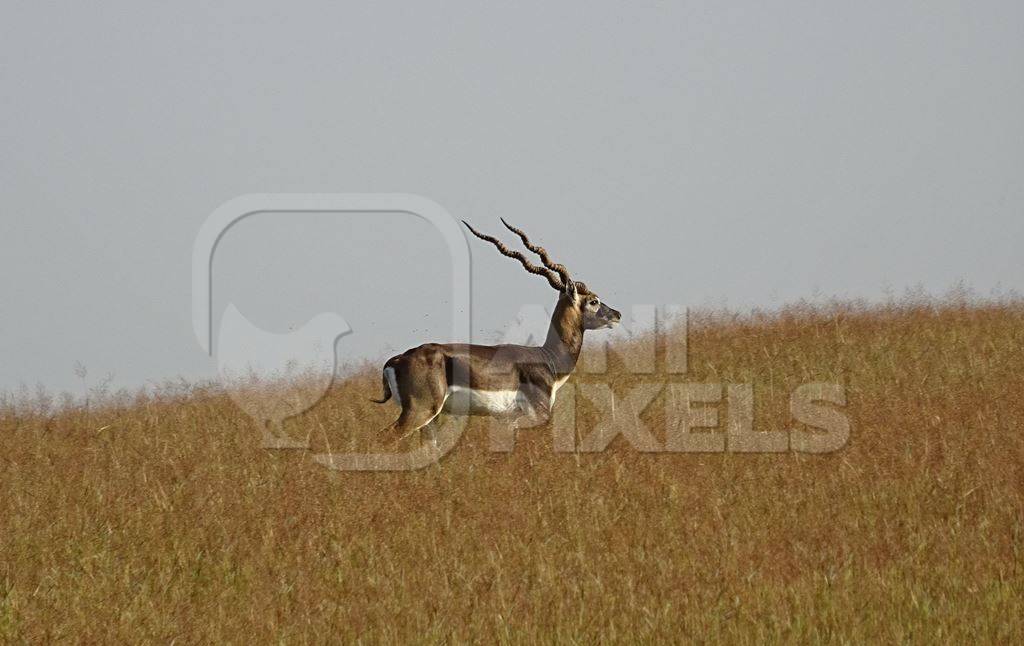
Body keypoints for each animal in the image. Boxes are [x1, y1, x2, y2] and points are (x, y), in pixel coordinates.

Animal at [372, 220, 618, 446]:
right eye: (593, 301)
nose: (617, 314)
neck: (548, 359)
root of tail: (396, 360)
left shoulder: (509, 419)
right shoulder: (538, 414)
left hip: (432, 418)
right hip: (420, 411)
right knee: (385, 437)